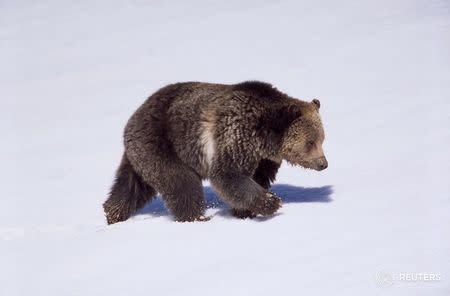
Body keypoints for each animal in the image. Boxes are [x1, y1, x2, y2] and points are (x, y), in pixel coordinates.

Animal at [102, 81, 326, 224]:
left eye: (323, 139)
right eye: (310, 142)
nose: (323, 163)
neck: (265, 136)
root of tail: (133, 117)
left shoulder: (263, 159)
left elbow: (257, 177)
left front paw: (245, 211)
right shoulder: (236, 136)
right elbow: (228, 175)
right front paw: (271, 202)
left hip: (140, 154)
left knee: (131, 185)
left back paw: (112, 213)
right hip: (164, 144)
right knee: (182, 183)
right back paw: (198, 217)